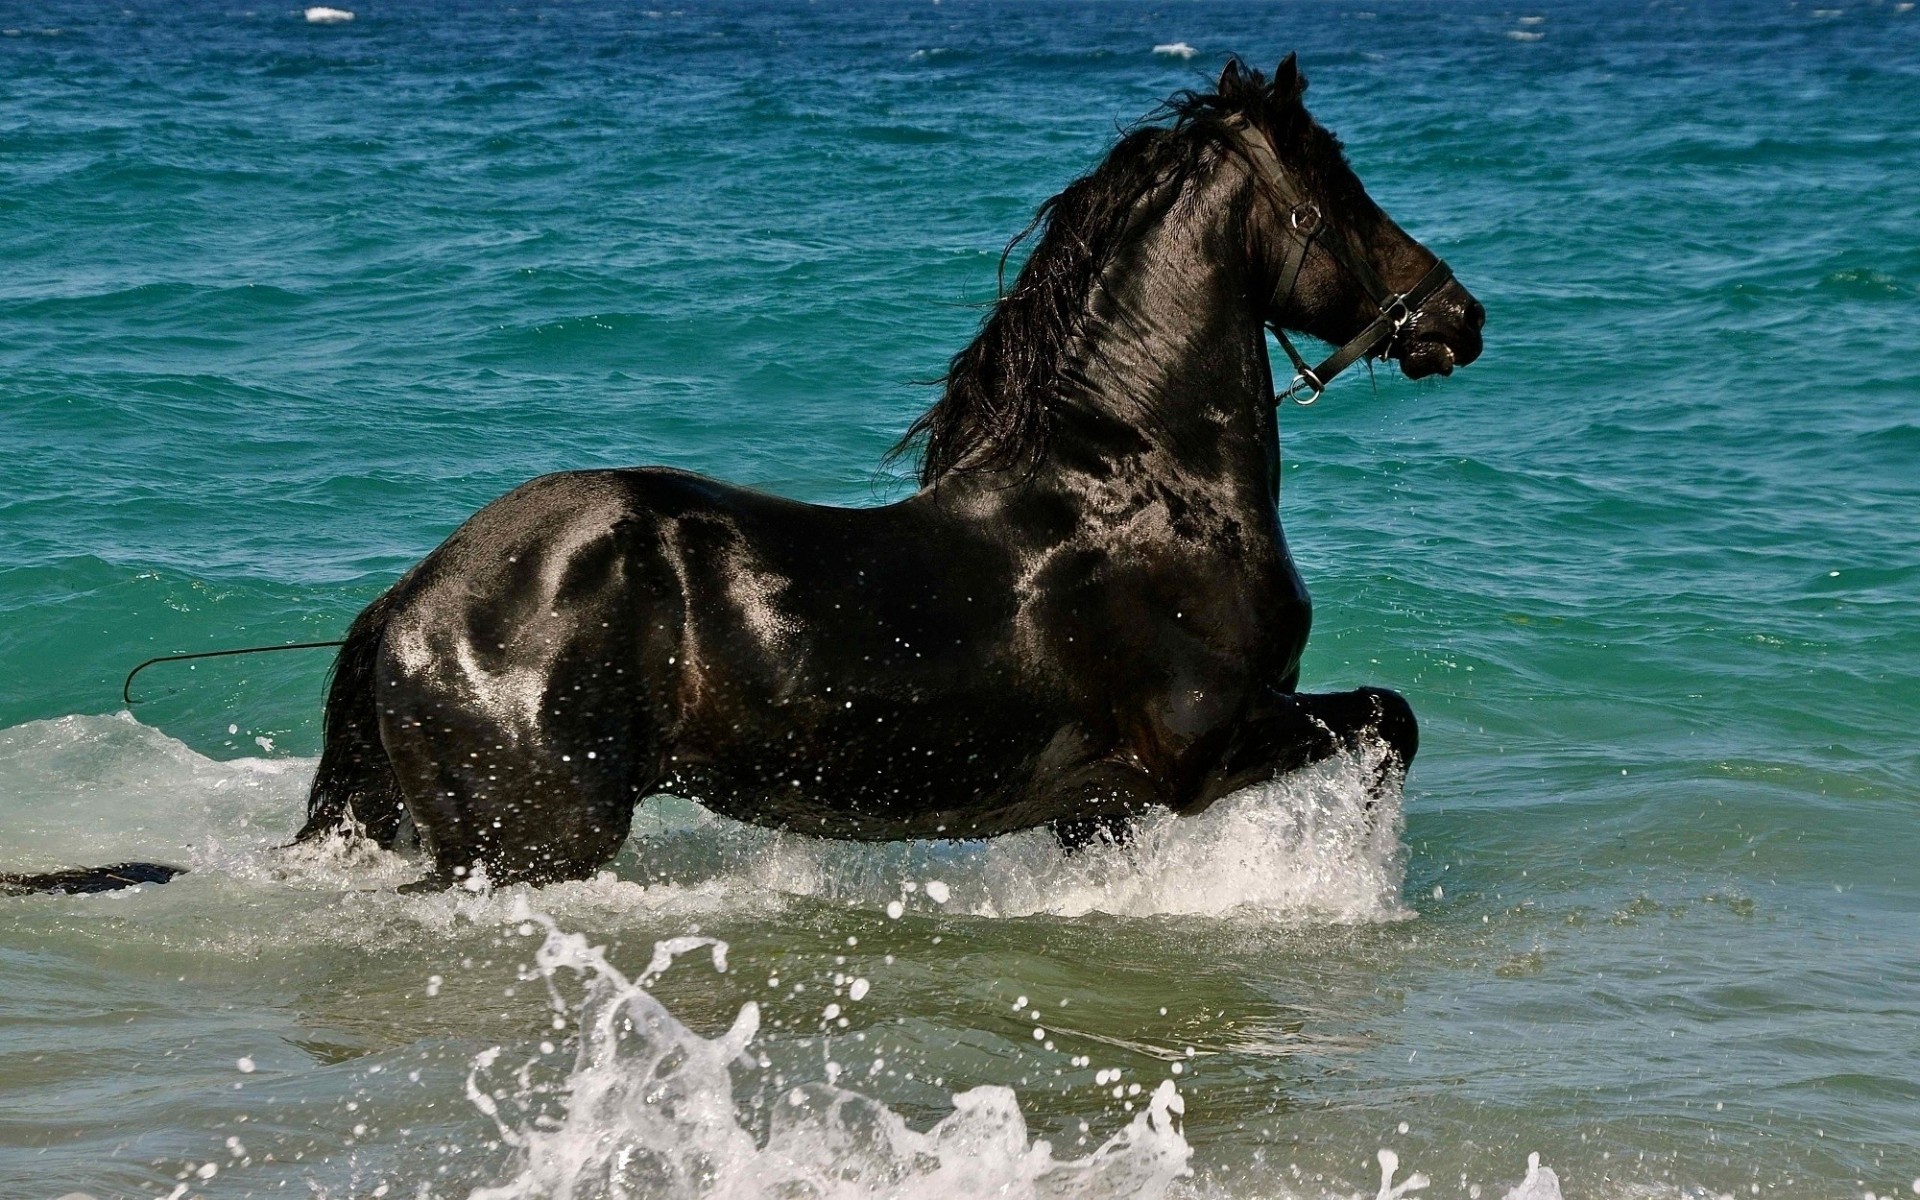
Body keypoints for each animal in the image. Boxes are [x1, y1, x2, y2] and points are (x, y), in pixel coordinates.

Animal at [11, 55, 1482, 896]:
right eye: (1339, 189)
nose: (1457, 317)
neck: (1136, 488)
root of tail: (407, 605)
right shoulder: (1206, 744)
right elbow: (1391, 723)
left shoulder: (1103, 806)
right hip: (533, 842)